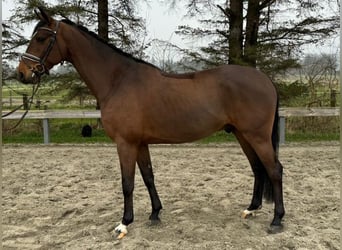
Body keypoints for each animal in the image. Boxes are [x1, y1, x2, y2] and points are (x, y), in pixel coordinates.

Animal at [16, 7, 284, 238]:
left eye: (41, 38)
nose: (21, 73)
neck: (118, 80)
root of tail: (265, 79)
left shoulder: (125, 143)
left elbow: (127, 183)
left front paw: (124, 224)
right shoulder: (140, 143)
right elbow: (148, 177)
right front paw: (155, 214)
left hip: (256, 136)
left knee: (274, 170)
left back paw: (277, 220)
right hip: (242, 134)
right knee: (258, 168)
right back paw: (251, 209)